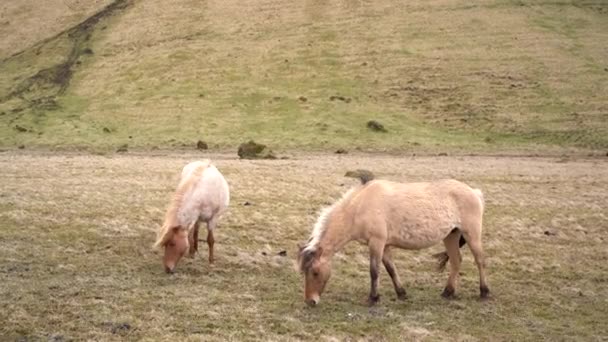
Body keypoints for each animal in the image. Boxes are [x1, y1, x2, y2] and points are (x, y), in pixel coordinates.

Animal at [300, 175, 490, 306]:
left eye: (315, 272)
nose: (310, 301)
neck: (360, 207)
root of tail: (474, 192)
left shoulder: (377, 243)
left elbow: (374, 271)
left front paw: (373, 298)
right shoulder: (385, 246)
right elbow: (391, 269)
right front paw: (401, 293)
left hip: (472, 234)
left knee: (480, 260)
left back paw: (484, 292)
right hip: (451, 235)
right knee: (456, 261)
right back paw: (448, 292)